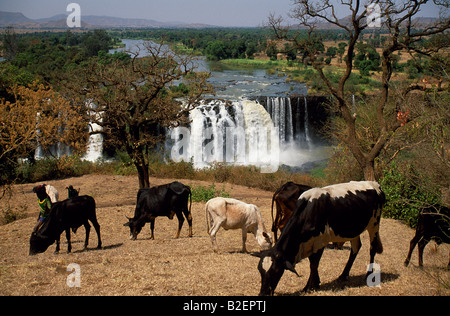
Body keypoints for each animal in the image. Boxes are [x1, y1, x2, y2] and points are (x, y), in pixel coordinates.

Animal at [255, 181, 384, 296]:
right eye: (260, 270)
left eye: (276, 271)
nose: (263, 293)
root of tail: (375, 184)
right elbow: (312, 263)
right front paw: (315, 283)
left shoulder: (320, 242)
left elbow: (314, 264)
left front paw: (308, 287)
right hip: (354, 230)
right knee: (356, 248)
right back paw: (343, 275)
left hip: (374, 224)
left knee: (372, 249)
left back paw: (368, 275)